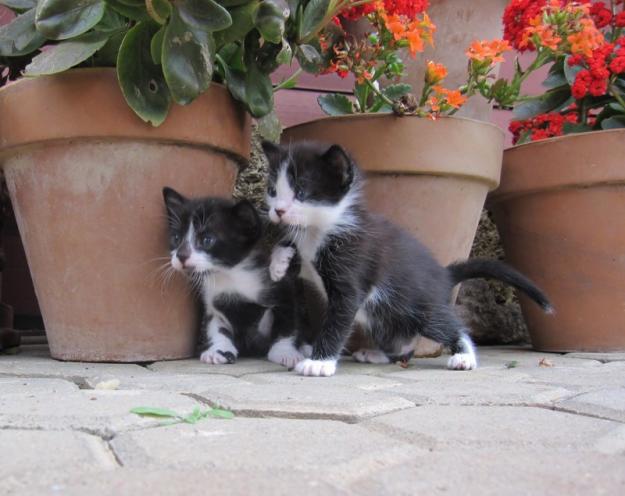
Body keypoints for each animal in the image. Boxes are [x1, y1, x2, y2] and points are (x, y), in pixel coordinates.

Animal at [163, 188, 304, 370]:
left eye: (207, 240)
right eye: (176, 238)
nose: (181, 256)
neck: (231, 274)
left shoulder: (284, 291)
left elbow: (287, 324)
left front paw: (285, 352)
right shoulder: (213, 303)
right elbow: (216, 326)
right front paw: (219, 350)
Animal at [260, 141, 552, 378]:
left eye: (301, 192)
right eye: (273, 191)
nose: (278, 210)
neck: (321, 230)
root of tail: (443, 274)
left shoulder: (351, 276)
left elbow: (337, 322)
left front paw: (320, 362)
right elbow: (291, 242)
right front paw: (279, 264)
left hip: (420, 305)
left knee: (449, 327)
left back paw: (464, 356)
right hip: (383, 316)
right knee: (401, 342)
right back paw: (377, 354)